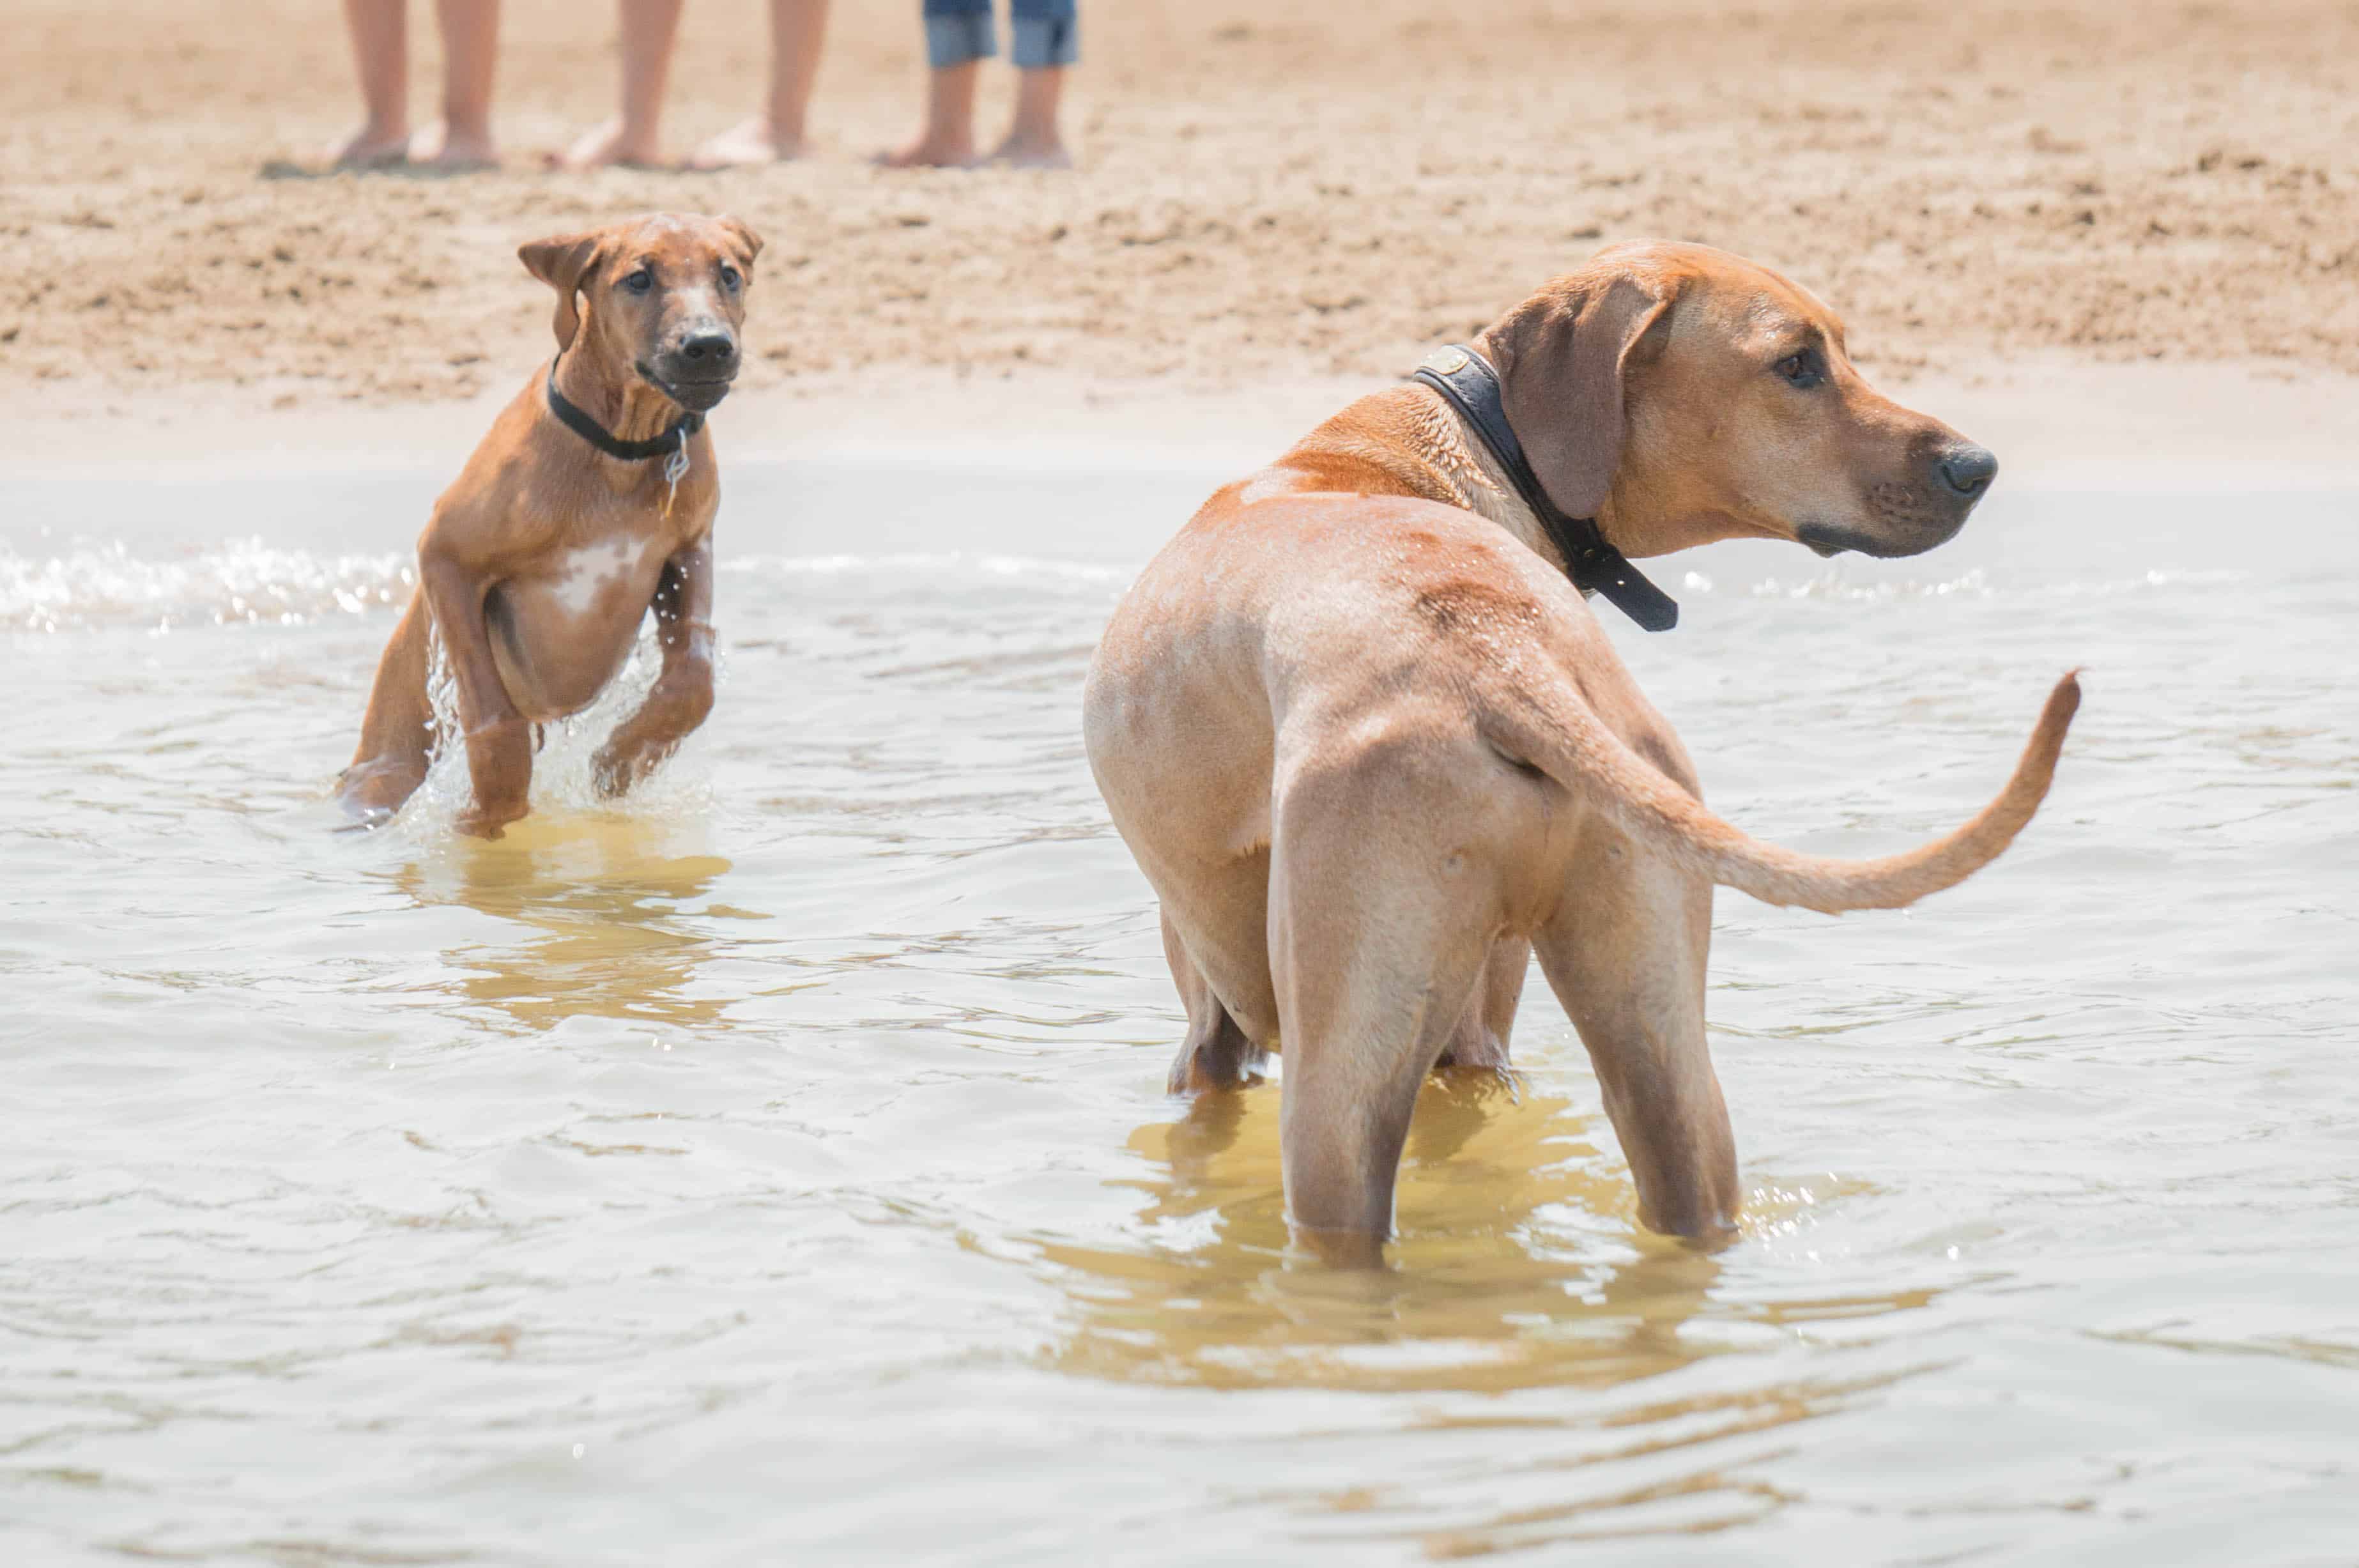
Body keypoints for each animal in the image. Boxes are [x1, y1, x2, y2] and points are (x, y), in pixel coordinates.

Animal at [337, 217, 759, 844]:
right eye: (638, 279)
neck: (622, 450)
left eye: (728, 274)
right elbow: (493, 719)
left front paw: (623, 759)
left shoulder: (689, 550)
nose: (708, 346)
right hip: (391, 753)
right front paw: (491, 814)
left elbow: (693, 679)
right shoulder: (446, 556)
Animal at [1085, 242, 2085, 1263]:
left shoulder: (1209, 1018)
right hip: (1651, 1008)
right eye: (1800, 363)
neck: (1467, 446)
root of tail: (1497, 657)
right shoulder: (1473, 1028)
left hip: (1340, 1053)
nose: (1977, 465)